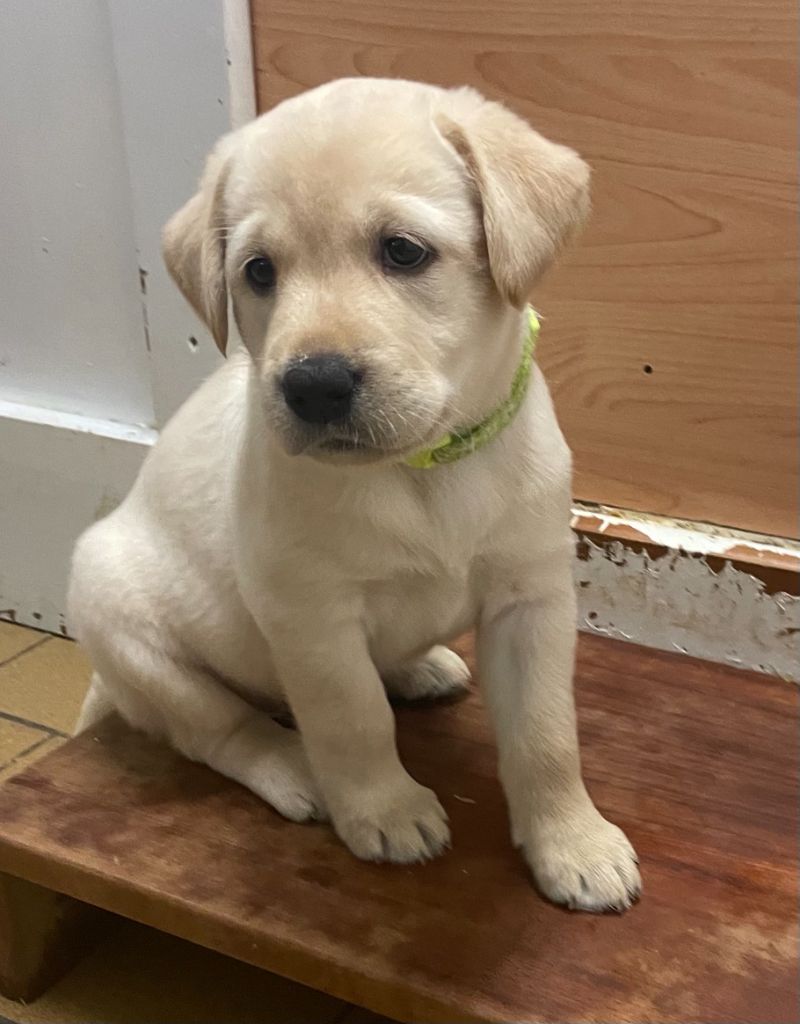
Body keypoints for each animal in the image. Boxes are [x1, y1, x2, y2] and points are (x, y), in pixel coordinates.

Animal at [71, 79, 639, 913]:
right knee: (220, 730)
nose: (313, 385)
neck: (425, 468)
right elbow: (353, 717)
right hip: (126, 627)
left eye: (403, 251)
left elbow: (545, 734)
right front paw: (386, 809)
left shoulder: (531, 597)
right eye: (259, 271)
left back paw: (418, 666)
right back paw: (296, 769)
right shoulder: (310, 615)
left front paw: (574, 842)